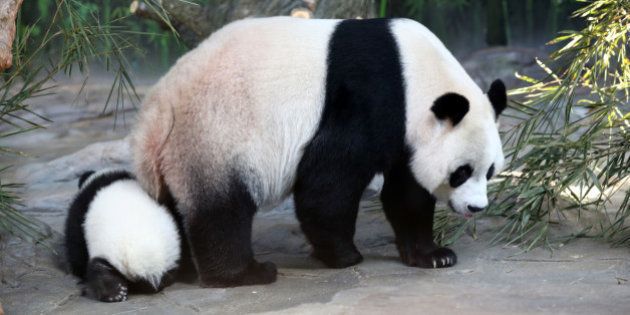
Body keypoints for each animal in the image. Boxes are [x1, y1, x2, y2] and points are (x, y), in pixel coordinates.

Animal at [132, 17, 508, 288]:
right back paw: (244, 274)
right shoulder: (368, 97)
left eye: (490, 171)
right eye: (461, 171)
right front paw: (343, 256)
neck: (414, 73)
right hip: (214, 135)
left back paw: (181, 269)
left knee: (172, 208)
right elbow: (328, 182)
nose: (476, 208)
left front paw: (433, 256)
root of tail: (158, 110)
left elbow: (406, 192)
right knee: (221, 209)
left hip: (178, 153)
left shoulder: (406, 132)